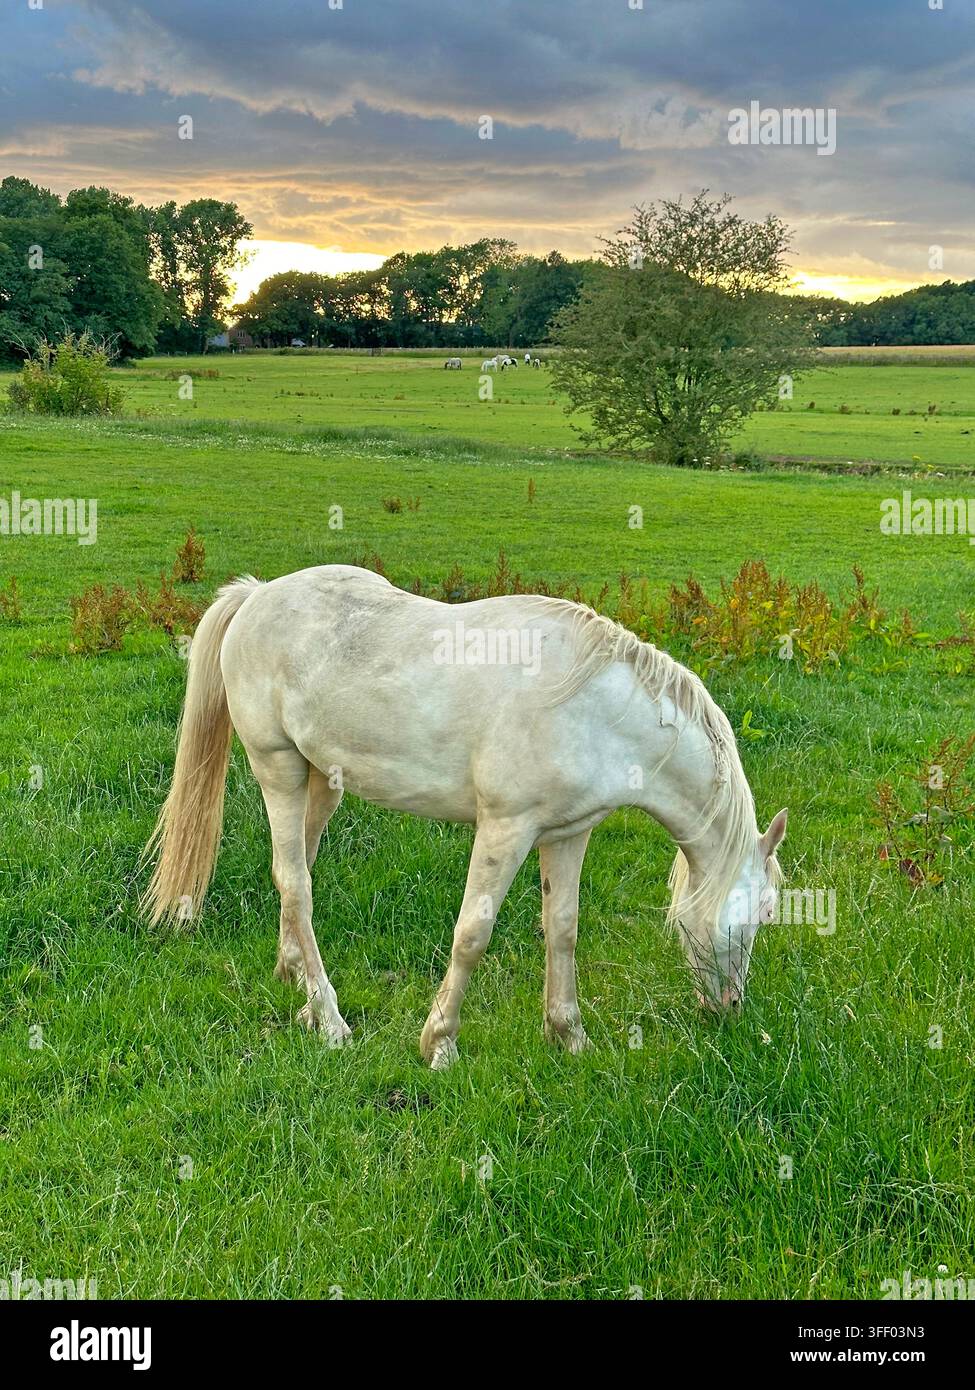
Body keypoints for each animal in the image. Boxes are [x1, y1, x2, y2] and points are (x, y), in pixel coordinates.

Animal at [143, 566, 787, 1068]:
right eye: (761, 913)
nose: (730, 1009)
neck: (594, 708)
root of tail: (257, 595)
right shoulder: (506, 828)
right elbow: (473, 933)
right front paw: (440, 1043)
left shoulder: (568, 834)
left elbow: (563, 929)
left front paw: (569, 1036)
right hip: (277, 767)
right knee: (294, 880)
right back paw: (328, 1019)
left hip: (320, 778)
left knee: (296, 870)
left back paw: (296, 979)